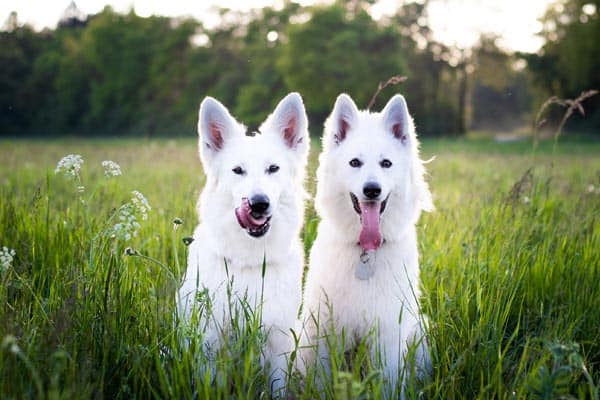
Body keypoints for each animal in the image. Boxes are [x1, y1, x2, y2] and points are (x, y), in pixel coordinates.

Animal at [178, 93, 310, 394]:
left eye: (273, 169)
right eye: (238, 171)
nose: (259, 203)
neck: (250, 262)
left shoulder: (278, 342)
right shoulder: (210, 344)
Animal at [298, 93, 432, 394]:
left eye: (386, 164)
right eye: (355, 163)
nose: (372, 190)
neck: (365, 253)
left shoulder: (388, 332)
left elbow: (388, 382)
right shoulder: (324, 330)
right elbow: (322, 381)